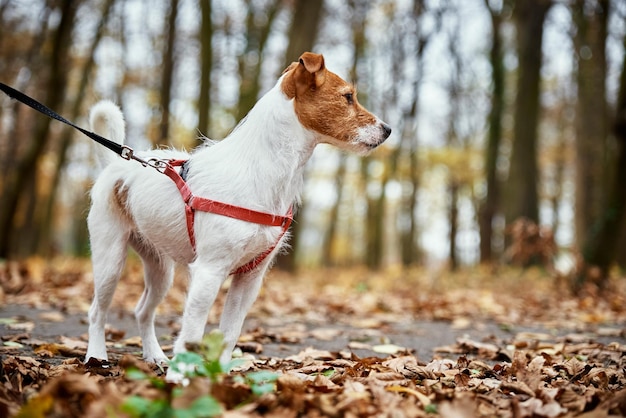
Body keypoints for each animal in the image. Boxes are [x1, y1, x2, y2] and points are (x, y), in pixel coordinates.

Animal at [85, 51, 390, 372]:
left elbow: (229, 334)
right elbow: (191, 334)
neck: (264, 169)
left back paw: (154, 355)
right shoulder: (209, 272)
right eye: (348, 97)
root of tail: (116, 163)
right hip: (110, 260)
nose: (388, 130)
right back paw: (97, 355)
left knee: (143, 311)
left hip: (160, 268)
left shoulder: (250, 279)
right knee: (97, 311)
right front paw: (182, 378)